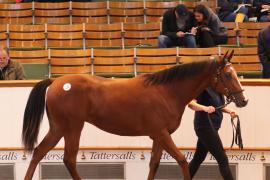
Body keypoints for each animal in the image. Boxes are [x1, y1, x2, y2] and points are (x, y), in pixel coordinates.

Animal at [22, 51, 248, 180]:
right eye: (228, 74)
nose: (243, 100)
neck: (166, 91)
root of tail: (55, 82)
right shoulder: (161, 134)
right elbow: (183, 160)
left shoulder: (159, 136)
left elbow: (154, 164)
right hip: (72, 128)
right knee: (69, 159)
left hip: (58, 128)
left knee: (39, 152)